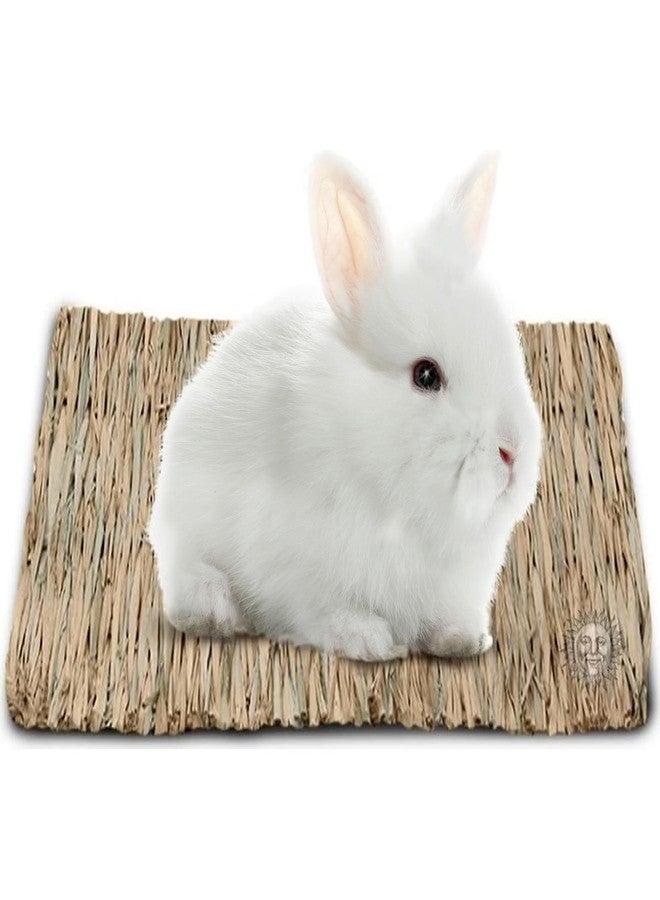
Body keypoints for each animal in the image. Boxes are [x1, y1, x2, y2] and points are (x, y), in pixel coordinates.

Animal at [148, 154, 543, 661]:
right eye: (426, 375)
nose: (512, 451)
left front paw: (462, 640)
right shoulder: (300, 572)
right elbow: (328, 612)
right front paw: (368, 639)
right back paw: (214, 609)